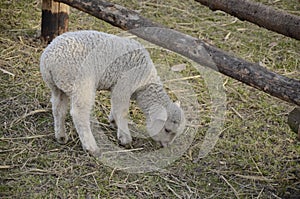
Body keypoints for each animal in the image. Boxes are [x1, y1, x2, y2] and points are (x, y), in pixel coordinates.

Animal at [39, 29, 185, 154]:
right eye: (167, 129)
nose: (166, 146)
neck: (145, 82)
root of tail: (49, 59)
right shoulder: (124, 85)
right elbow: (122, 111)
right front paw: (125, 138)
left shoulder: (117, 87)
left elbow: (115, 106)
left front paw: (113, 122)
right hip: (81, 83)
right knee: (79, 113)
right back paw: (91, 147)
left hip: (56, 86)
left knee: (58, 109)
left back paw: (61, 136)